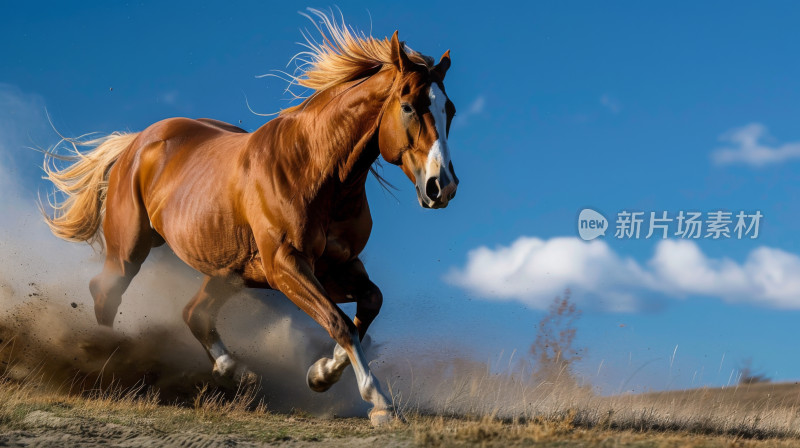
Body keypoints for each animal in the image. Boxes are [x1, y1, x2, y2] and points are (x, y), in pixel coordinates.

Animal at [42, 12, 456, 428]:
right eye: (409, 106)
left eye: (449, 110)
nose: (442, 186)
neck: (317, 170)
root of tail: (136, 142)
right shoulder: (285, 266)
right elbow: (339, 322)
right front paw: (380, 402)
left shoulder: (336, 265)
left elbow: (369, 306)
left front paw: (321, 373)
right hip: (129, 251)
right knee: (107, 293)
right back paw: (108, 365)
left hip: (229, 270)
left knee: (195, 313)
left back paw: (237, 372)